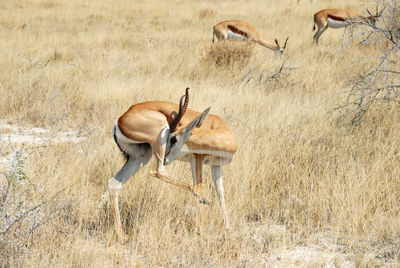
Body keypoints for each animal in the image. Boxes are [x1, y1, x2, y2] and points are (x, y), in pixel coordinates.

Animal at [108, 87, 238, 241]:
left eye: (174, 139)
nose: (166, 158)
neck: (218, 128)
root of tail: (120, 119)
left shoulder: (216, 165)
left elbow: (220, 193)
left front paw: (229, 230)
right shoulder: (197, 160)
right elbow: (200, 186)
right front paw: (203, 233)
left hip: (141, 157)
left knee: (114, 184)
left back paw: (122, 236)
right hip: (159, 136)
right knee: (157, 171)